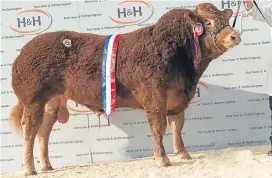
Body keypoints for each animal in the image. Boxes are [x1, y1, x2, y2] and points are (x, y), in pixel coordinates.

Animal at [9, 2, 241, 177]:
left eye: (225, 21)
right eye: (208, 23)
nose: (235, 36)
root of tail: (23, 53)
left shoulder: (178, 98)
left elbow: (177, 126)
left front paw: (183, 154)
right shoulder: (155, 95)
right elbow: (159, 126)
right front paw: (162, 159)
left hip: (53, 101)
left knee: (44, 131)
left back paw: (46, 165)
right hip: (33, 98)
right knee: (30, 129)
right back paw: (30, 169)